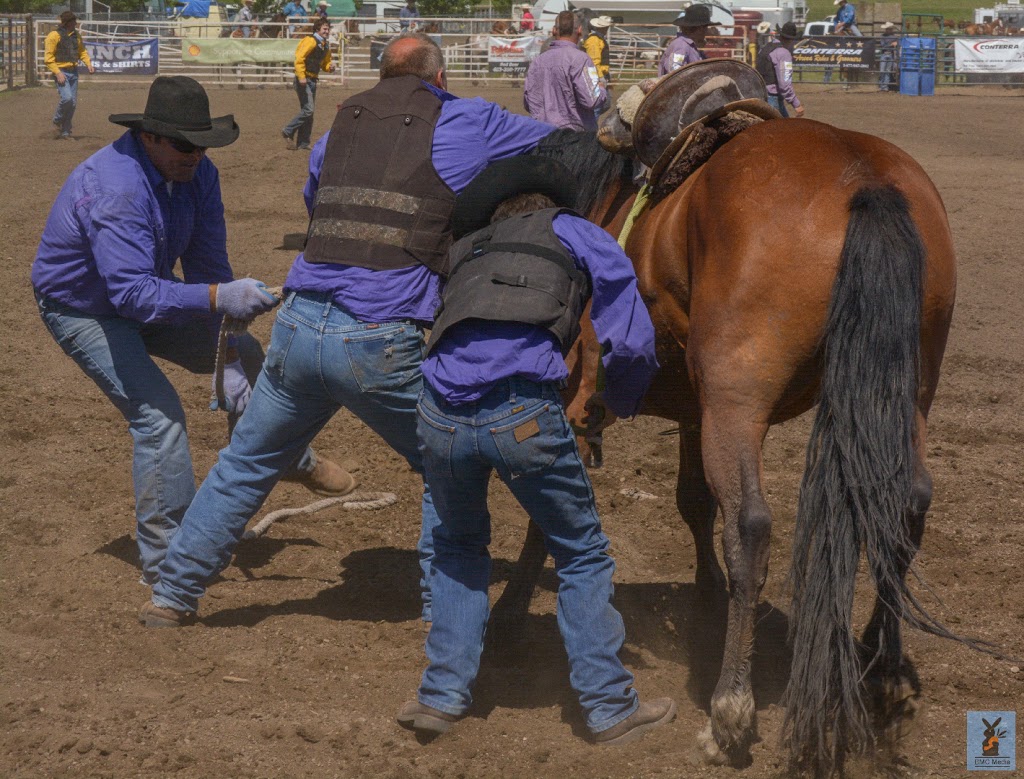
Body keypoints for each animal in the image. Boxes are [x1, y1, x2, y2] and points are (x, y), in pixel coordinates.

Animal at [497, 112, 958, 773]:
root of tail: (864, 178)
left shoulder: (573, 402)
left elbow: (549, 514)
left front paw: (509, 611)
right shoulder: (693, 413)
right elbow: (692, 500)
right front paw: (706, 596)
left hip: (735, 401)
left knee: (751, 527)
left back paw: (729, 709)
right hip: (905, 393)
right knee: (904, 506)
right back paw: (882, 667)